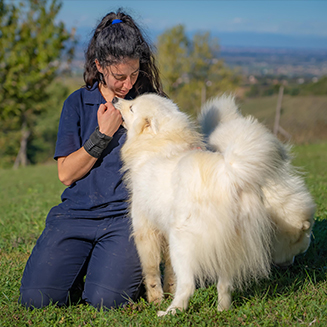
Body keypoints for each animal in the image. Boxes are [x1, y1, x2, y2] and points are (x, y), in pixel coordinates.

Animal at [114, 93, 292, 316]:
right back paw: (222, 310)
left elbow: (151, 270)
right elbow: (170, 273)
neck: (160, 143)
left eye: (131, 107)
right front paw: (168, 290)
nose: (115, 100)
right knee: (224, 285)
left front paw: (156, 298)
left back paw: (169, 312)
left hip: (181, 243)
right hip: (226, 246)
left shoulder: (145, 228)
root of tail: (227, 177)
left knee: (188, 285)